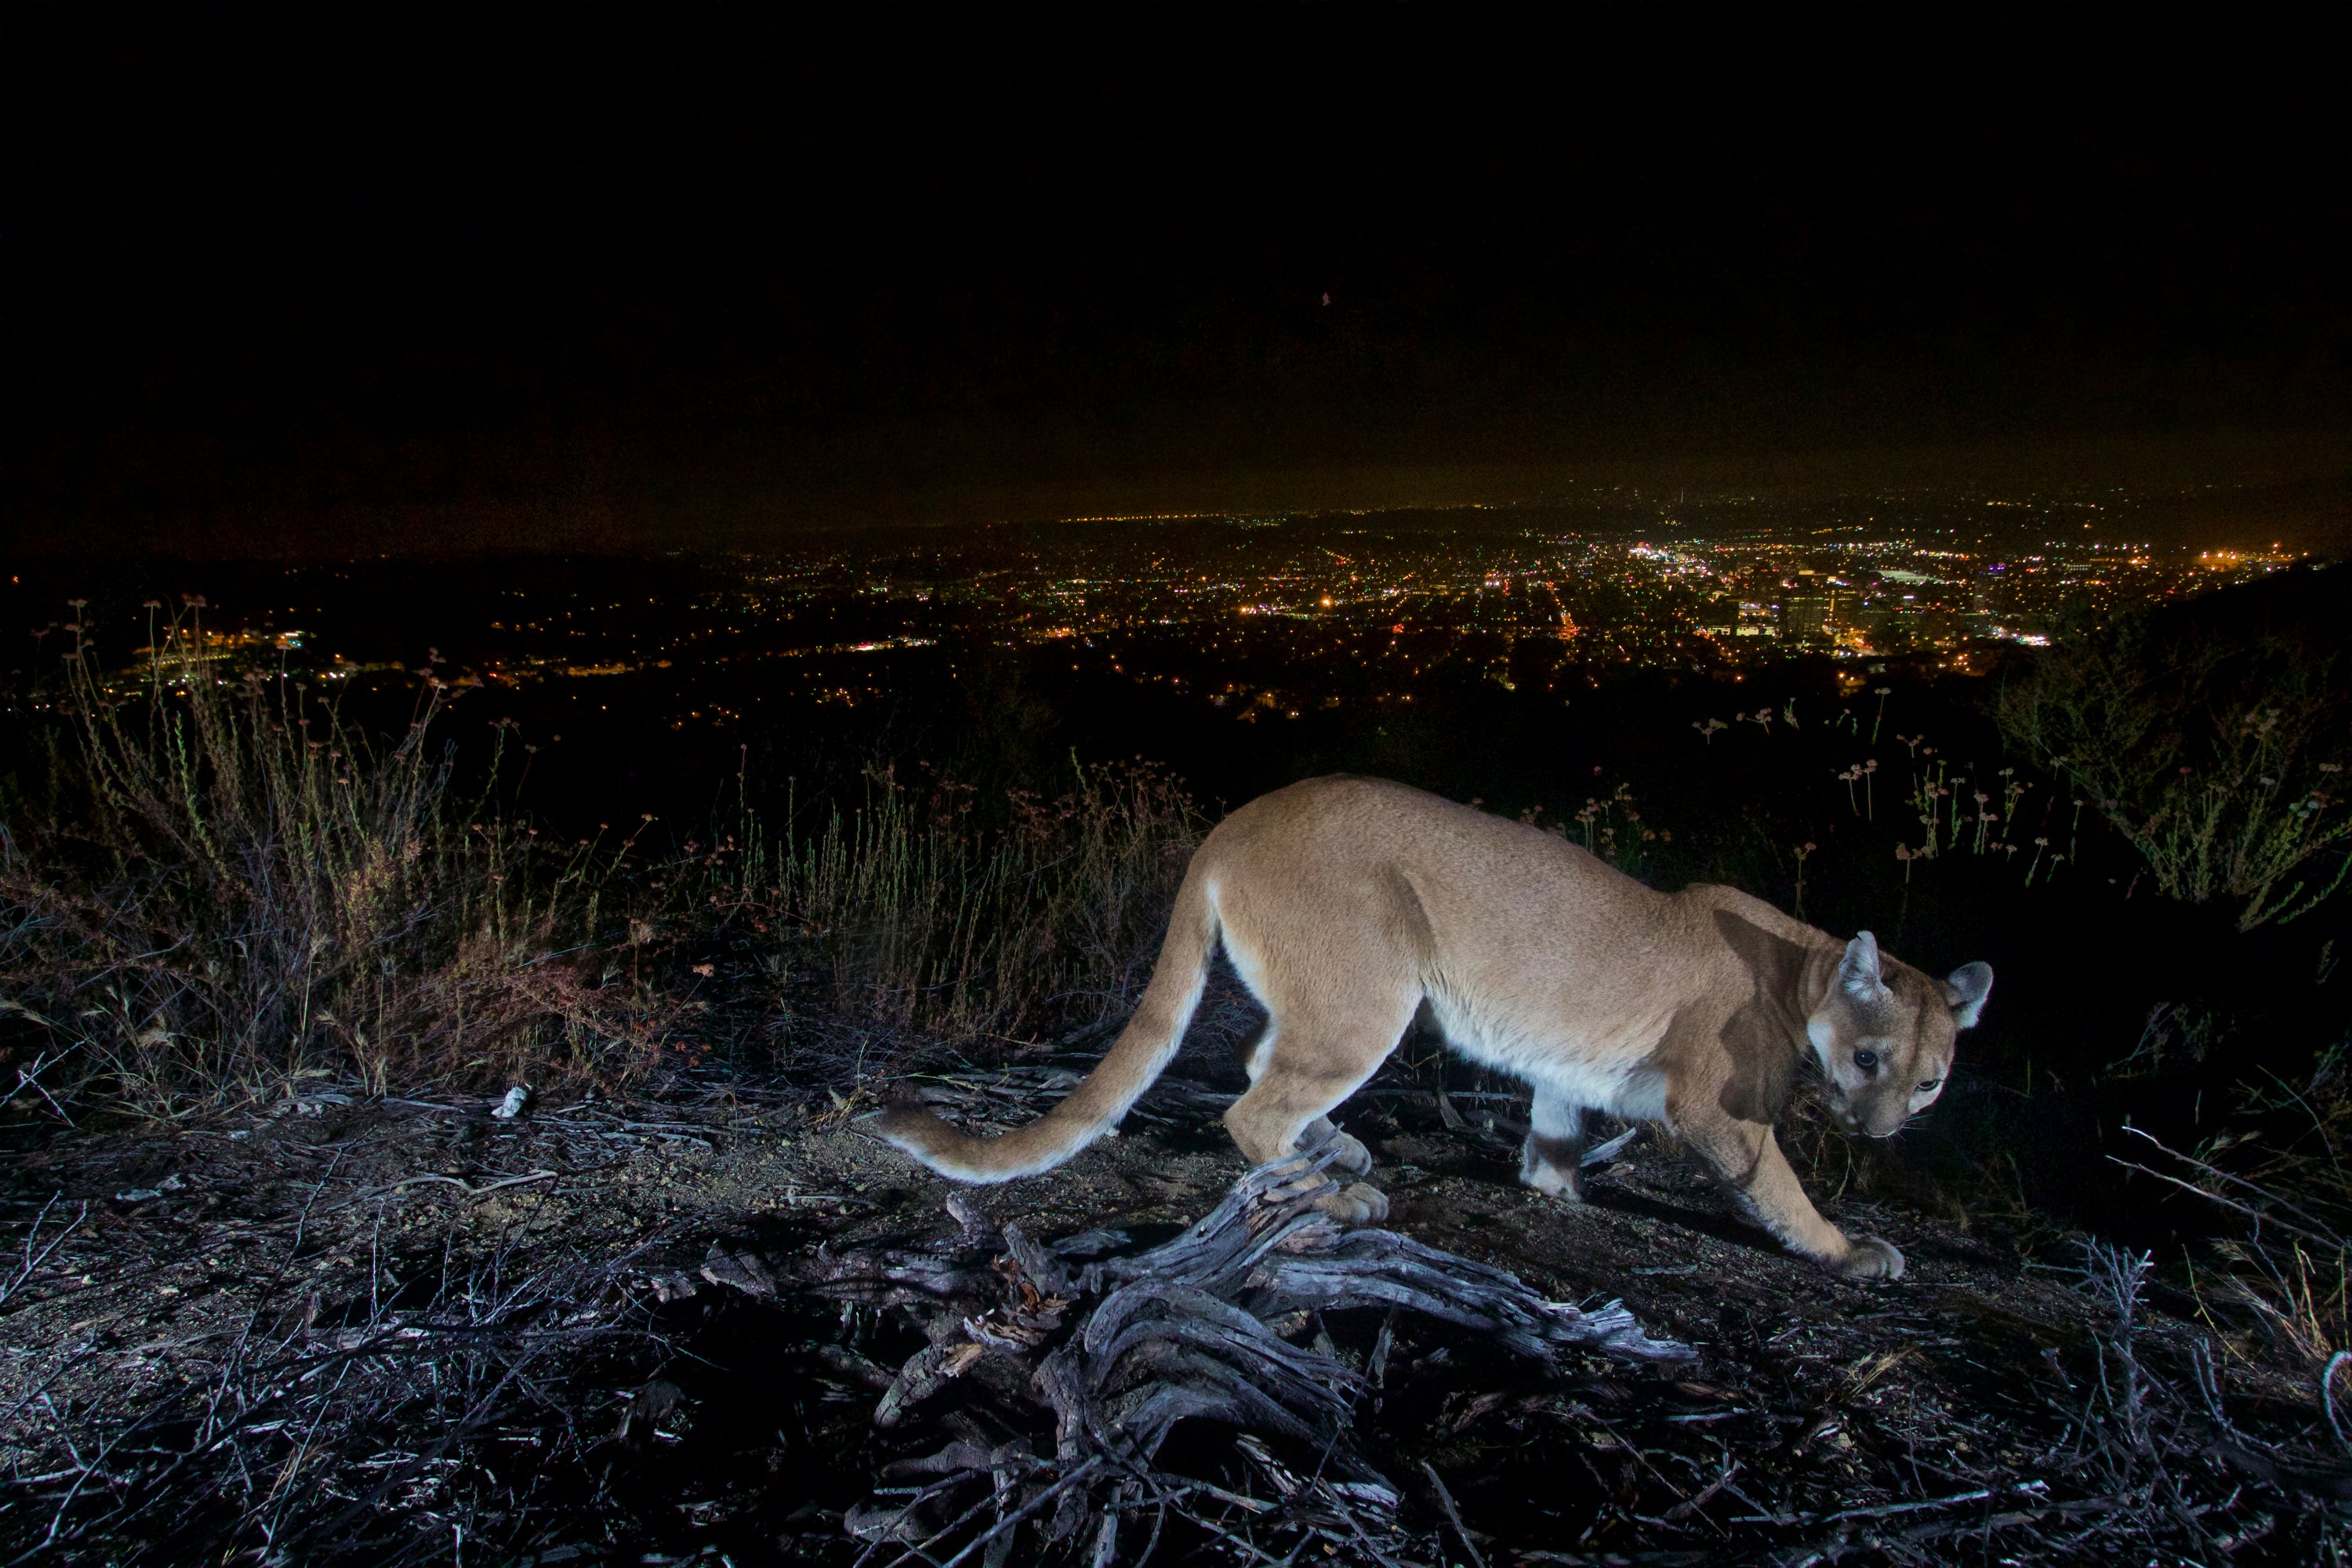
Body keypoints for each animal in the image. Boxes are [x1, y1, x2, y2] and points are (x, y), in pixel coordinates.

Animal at [875, 780, 1994, 1279]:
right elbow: (1779, 1185)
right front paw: (1849, 1249)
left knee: (1261, 1062)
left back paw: (1338, 1147)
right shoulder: (1718, 1107)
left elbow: (1554, 1130)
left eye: (1930, 1079)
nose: (1884, 1129)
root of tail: (1234, 819)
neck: (1803, 965)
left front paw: (1556, 1189)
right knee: (1252, 1104)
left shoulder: (1567, 1068)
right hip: (1374, 991)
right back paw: (1338, 1188)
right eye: (1870, 1057)